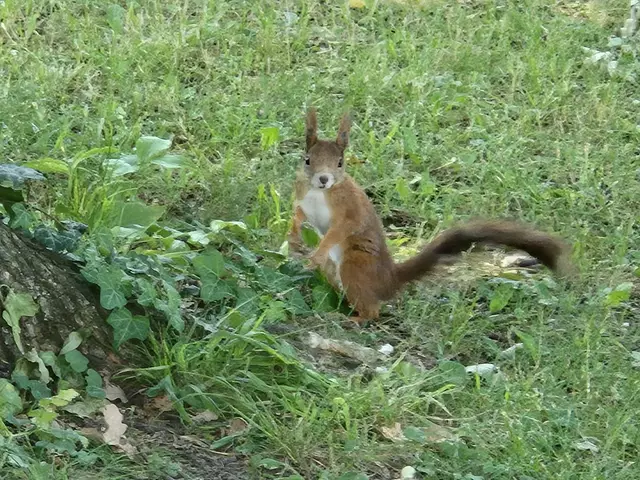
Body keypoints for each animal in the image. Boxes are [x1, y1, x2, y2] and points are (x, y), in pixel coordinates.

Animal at [287, 108, 572, 325]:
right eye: (307, 159)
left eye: (340, 162)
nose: (323, 179)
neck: (319, 192)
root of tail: (389, 279)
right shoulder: (300, 197)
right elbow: (298, 215)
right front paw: (293, 237)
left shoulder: (349, 211)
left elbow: (339, 230)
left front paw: (317, 252)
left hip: (356, 266)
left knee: (373, 310)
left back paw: (353, 318)